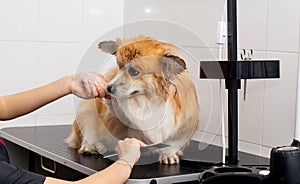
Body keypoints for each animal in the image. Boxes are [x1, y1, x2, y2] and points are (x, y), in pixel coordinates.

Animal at [67, 35, 200, 164]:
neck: (149, 100)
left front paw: (169, 155)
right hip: (87, 111)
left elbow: (172, 144)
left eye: (134, 72)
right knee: (89, 133)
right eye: (119, 66)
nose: (108, 88)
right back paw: (92, 146)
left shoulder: (183, 126)